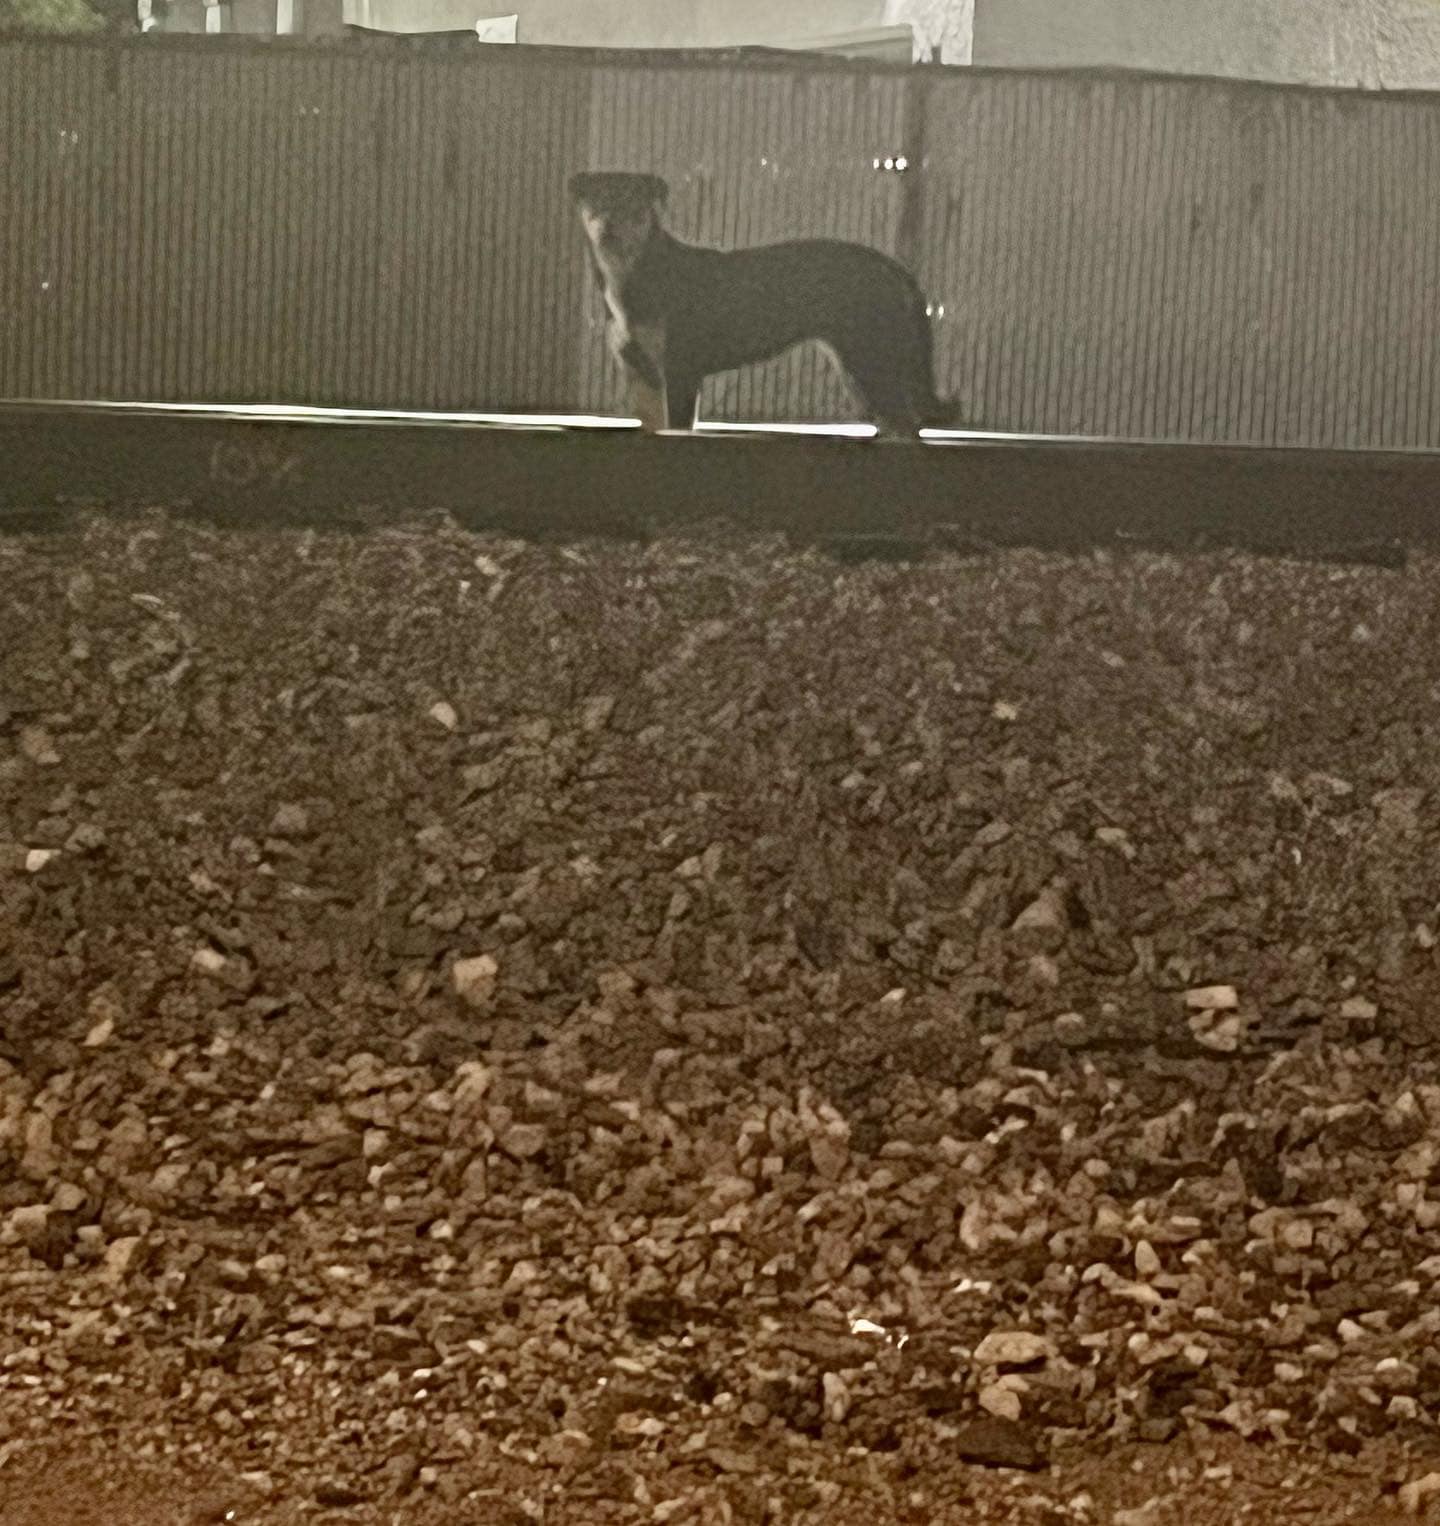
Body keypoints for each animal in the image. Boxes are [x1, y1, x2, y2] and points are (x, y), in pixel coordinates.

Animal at [567, 172, 964, 436]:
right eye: (595, 201)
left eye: (632, 202)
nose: (608, 227)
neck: (634, 273)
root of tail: (892, 265)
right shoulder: (639, 373)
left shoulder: (680, 368)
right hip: (860, 367)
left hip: (871, 358)